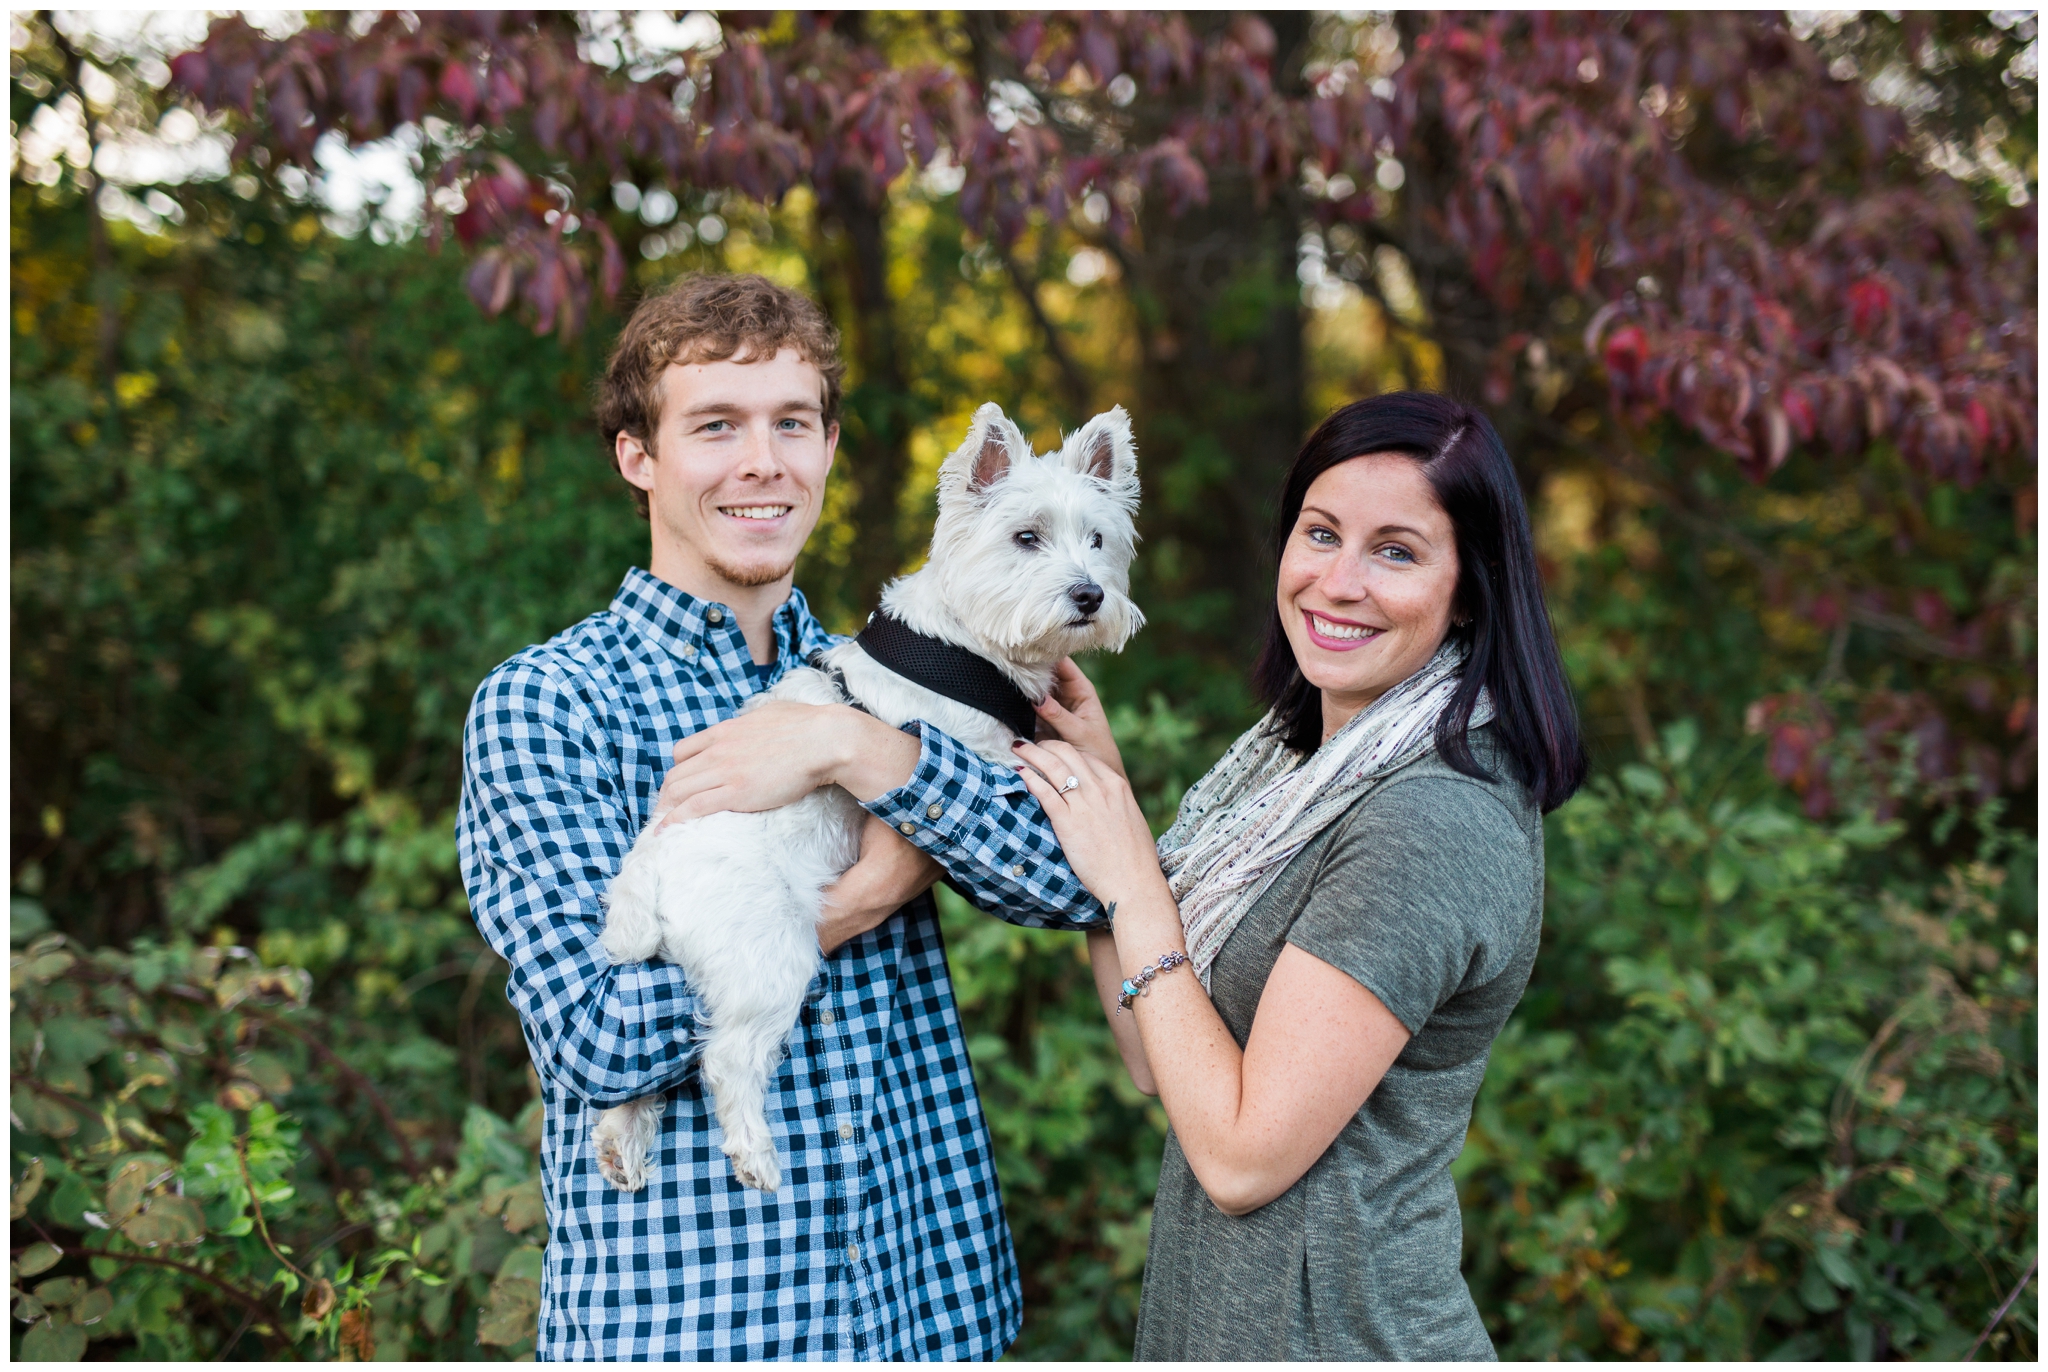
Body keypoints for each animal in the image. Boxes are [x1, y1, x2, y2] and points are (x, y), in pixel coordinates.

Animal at [593, 401, 1146, 1195]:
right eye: (1026, 537)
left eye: (1098, 540)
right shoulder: (983, 757)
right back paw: (755, 1153)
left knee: (630, 1076)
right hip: (771, 957)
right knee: (723, 1059)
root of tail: (649, 871)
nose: (1090, 595)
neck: (968, 648)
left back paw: (620, 1140)